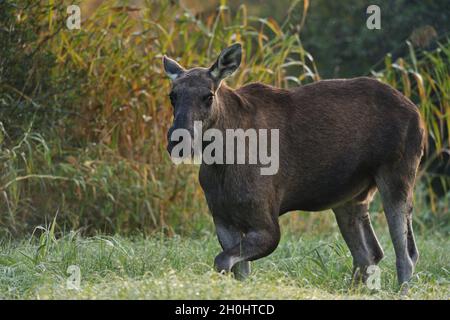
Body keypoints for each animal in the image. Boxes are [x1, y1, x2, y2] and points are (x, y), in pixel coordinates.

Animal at [162, 42, 426, 284]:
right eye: (172, 96)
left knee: (407, 255)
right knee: (370, 253)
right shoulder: (222, 219)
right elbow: (238, 270)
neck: (221, 162)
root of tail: (419, 117)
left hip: (397, 176)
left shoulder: (268, 224)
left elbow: (222, 261)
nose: (178, 140)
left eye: (208, 96)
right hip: (350, 199)